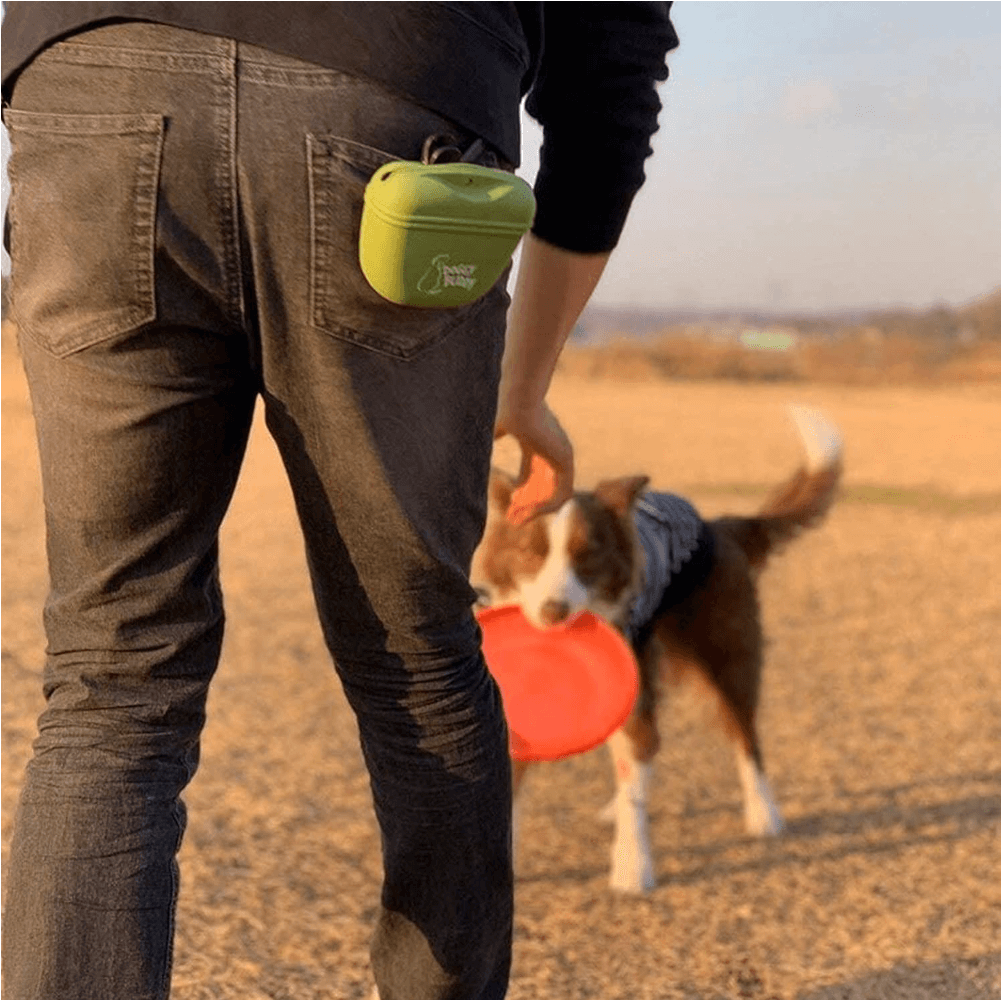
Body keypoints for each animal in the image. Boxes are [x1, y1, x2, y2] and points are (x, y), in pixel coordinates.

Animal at [472, 404, 841, 893]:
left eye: (586, 557)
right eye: (531, 553)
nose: (554, 612)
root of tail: (718, 527)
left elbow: (636, 780)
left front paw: (632, 867)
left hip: (727, 654)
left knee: (744, 736)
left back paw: (764, 813)